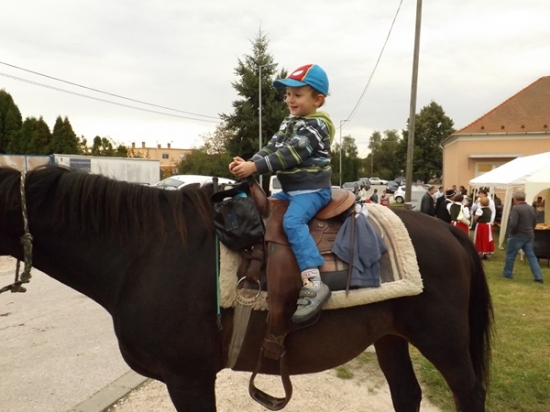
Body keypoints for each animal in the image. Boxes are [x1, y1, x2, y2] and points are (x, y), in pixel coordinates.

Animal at [0, 165, 493, 412]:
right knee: (406, 394)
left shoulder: (189, 379)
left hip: (445, 342)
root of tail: (450, 232)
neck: (143, 252)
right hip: (390, 336)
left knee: (469, 394)